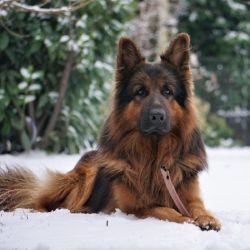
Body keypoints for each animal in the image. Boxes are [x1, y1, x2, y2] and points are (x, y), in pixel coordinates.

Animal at [0, 33, 220, 230]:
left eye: (168, 91)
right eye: (140, 92)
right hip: (84, 176)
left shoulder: (189, 197)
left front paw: (207, 218)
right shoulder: (132, 207)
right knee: (46, 202)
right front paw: (185, 219)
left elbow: (198, 207)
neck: (154, 155)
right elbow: (161, 209)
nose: (157, 116)